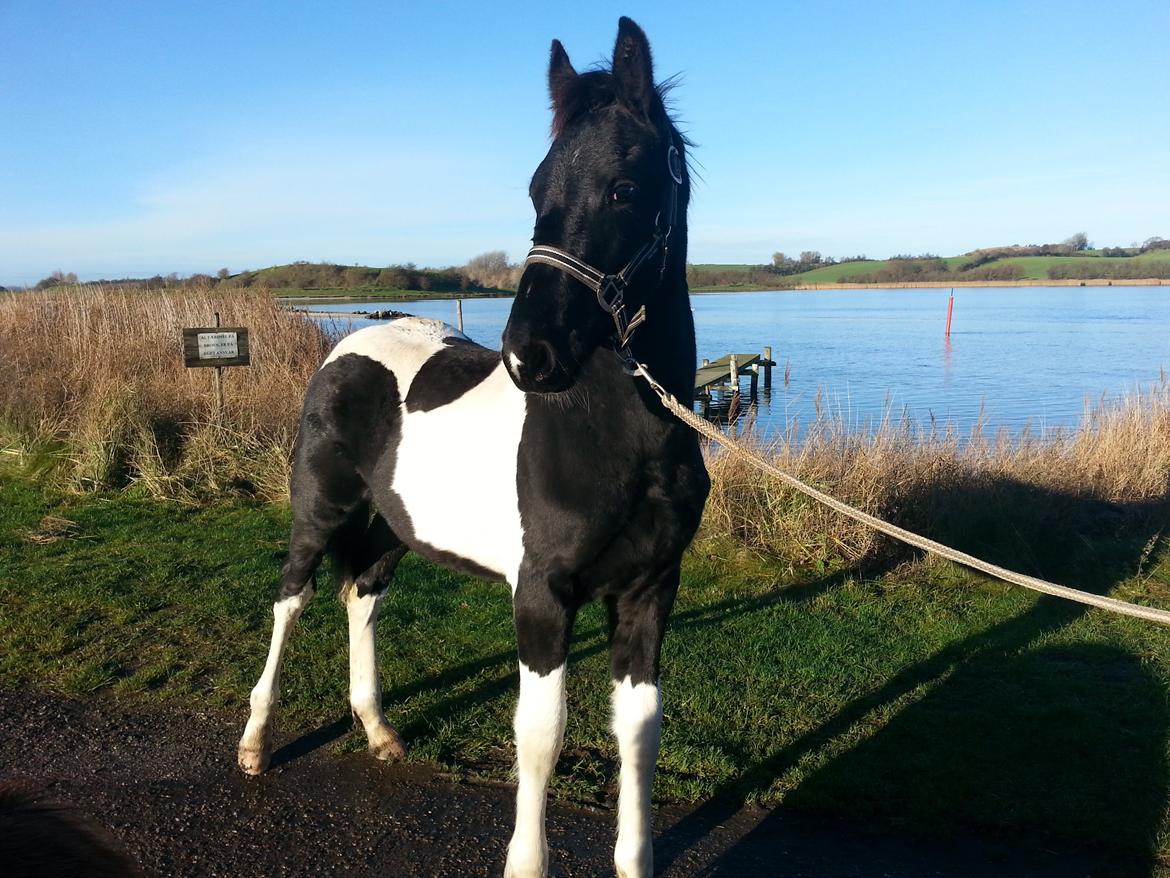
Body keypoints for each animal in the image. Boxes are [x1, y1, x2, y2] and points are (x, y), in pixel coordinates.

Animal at [237, 17, 708, 878]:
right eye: (535, 188)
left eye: (625, 188)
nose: (530, 354)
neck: (623, 440)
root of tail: (344, 348)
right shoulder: (541, 597)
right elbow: (540, 735)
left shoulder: (650, 591)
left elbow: (639, 733)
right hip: (320, 513)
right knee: (292, 599)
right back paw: (254, 743)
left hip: (392, 528)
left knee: (362, 597)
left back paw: (379, 731)